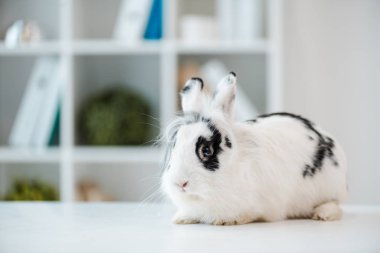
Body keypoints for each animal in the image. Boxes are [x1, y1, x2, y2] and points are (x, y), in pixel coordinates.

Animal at [160, 72, 348, 224]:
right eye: (175, 146)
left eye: (206, 150)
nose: (180, 183)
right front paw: (181, 218)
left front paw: (228, 221)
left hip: (330, 188)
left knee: (335, 204)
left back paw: (323, 215)